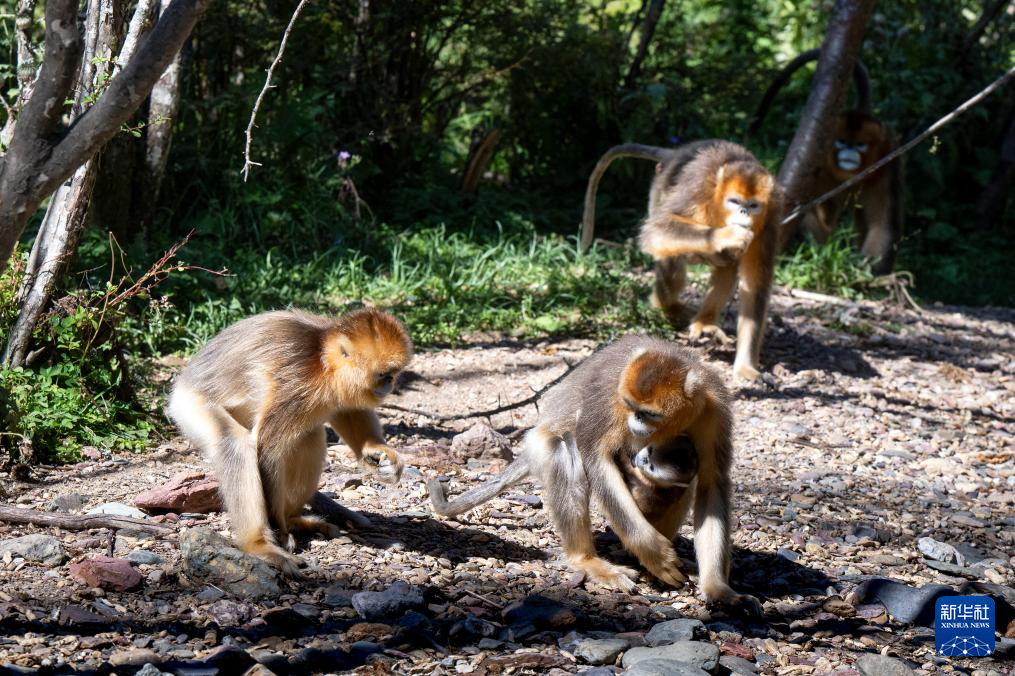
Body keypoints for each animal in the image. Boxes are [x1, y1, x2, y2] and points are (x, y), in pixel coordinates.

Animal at [170, 308, 412, 572]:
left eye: (392, 374)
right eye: (383, 375)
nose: (390, 383)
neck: (321, 361)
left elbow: (348, 409)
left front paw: (375, 451)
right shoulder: (296, 385)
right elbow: (267, 449)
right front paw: (278, 530)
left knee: (309, 436)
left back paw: (294, 519)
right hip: (189, 406)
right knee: (235, 444)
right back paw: (258, 543)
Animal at [424, 334, 759, 609]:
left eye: (648, 414)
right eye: (630, 406)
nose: (635, 422)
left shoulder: (713, 407)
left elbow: (711, 484)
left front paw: (718, 589)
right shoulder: (610, 394)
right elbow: (594, 457)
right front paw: (654, 553)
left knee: (685, 484)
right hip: (541, 443)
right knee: (565, 453)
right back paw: (588, 561)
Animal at [580, 139, 783, 381]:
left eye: (753, 205)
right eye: (735, 202)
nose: (744, 213)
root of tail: (675, 153)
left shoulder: (770, 218)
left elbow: (755, 287)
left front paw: (745, 366)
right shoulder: (698, 186)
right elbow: (657, 230)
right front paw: (725, 235)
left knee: (729, 263)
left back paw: (705, 321)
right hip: (660, 187)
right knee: (672, 251)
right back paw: (669, 307)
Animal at [747, 46, 905, 274]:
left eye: (860, 145)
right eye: (842, 141)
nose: (849, 152)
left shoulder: (887, 159)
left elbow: (882, 223)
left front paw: (870, 273)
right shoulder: (819, 156)